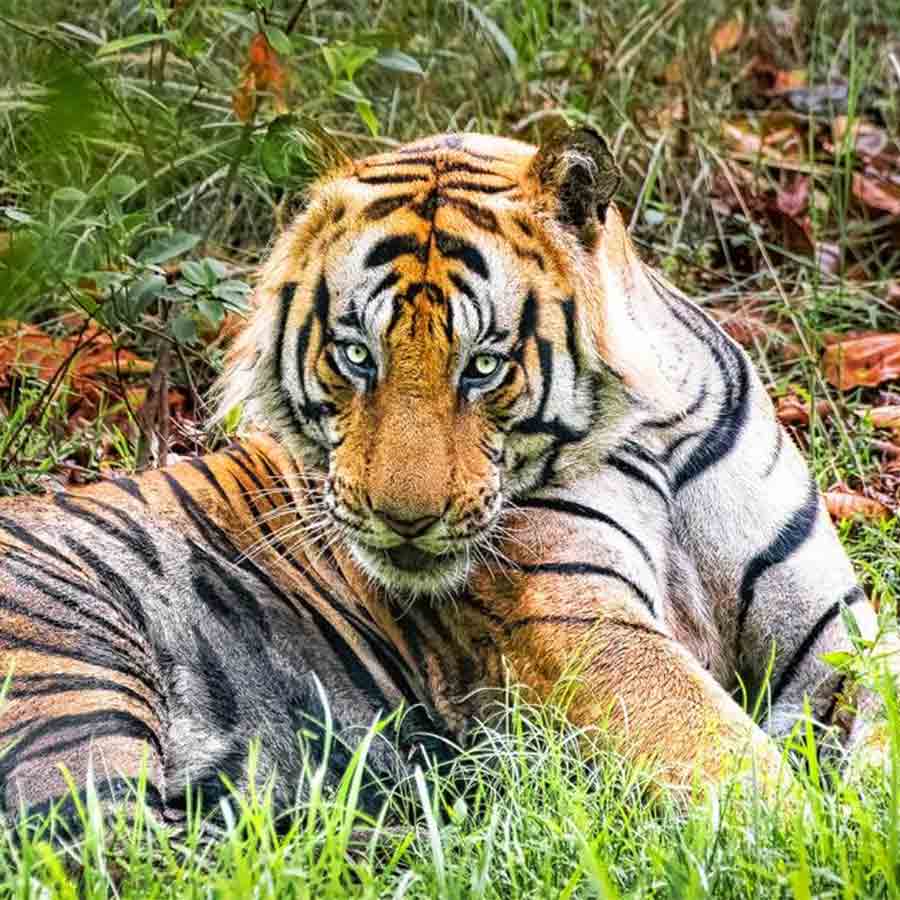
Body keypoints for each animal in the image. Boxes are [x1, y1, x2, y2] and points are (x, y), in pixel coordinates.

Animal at [0, 127, 891, 830]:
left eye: (484, 366)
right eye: (356, 355)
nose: (404, 518)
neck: (656, 436)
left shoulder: (831, 619)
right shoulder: (582, 625)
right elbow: (725, 760)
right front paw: (818, 839)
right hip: (72, 675)